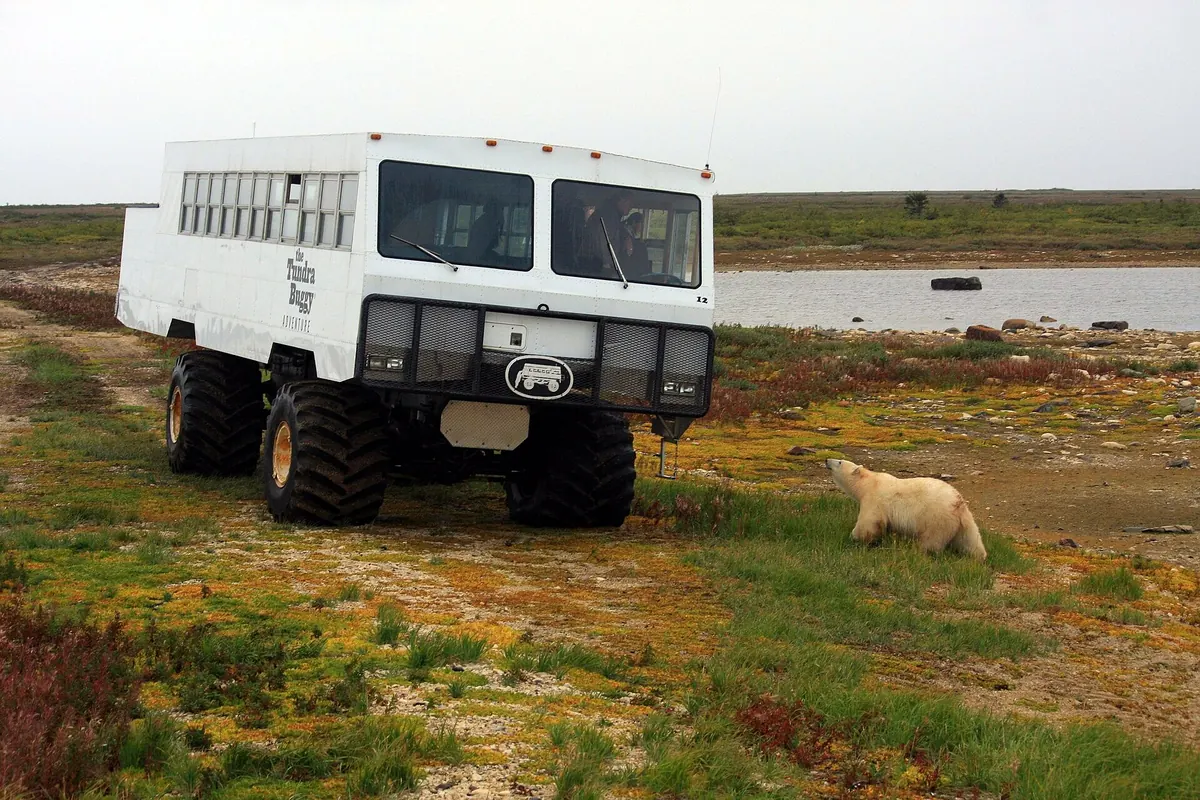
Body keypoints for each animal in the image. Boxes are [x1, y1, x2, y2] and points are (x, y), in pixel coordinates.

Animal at [824, 458, 987, 560]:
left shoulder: (874, 500)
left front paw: (854, 537)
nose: (826, 460)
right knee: (971, 539)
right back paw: (980, 556)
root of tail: (959, 503)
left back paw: (919, 551)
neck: (869, 483)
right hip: (963, 522)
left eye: (840, 461)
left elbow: (868, 522)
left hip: (937, 518)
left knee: (931, 540)